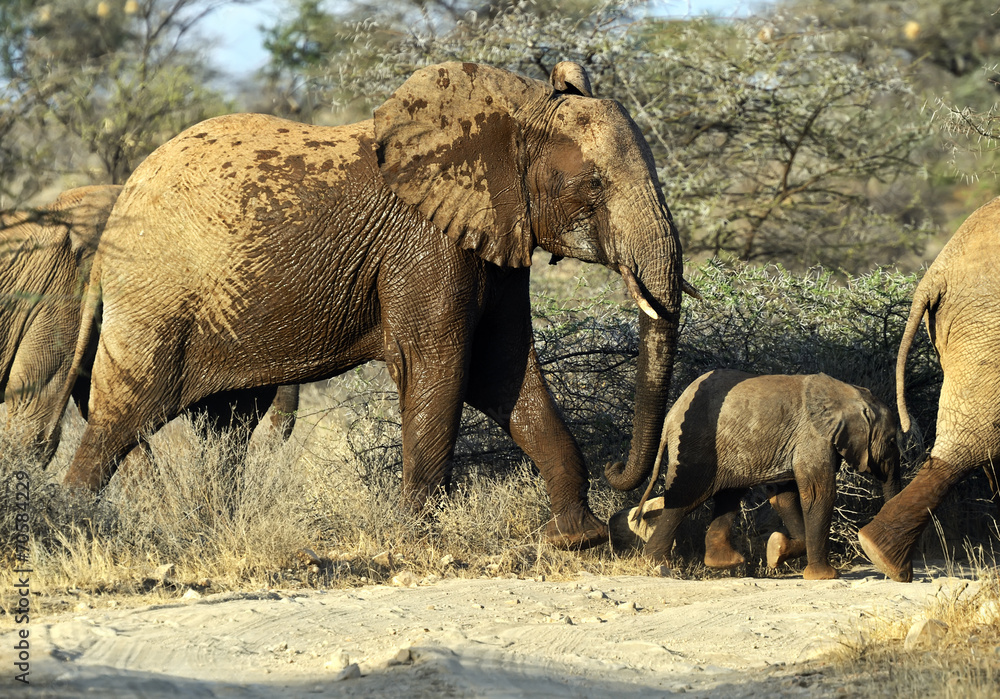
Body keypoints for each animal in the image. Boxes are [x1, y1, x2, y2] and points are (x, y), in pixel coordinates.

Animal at [54, 61, 686, 550]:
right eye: (596, 185)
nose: (620, 475)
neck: (514, 109)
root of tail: (114, 216)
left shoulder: (495, 233)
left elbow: (503, 369)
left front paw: (577, 539)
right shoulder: (427, 241)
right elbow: (441, 365)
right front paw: (418, 538)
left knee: (226, 424)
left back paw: (208, 522)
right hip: (155, 298)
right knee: (122, 416)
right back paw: (70, 525)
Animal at [608, 370, 902, 579]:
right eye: (891, 442)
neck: (848, 394)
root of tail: (671, 415)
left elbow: (784, 496)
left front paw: (777, 550)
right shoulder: (813, 437)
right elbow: (818, 494)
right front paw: (825, 577)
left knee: (728, 495)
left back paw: (724, 562)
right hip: (697, 445)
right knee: (686, 496)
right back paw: (657, 563)